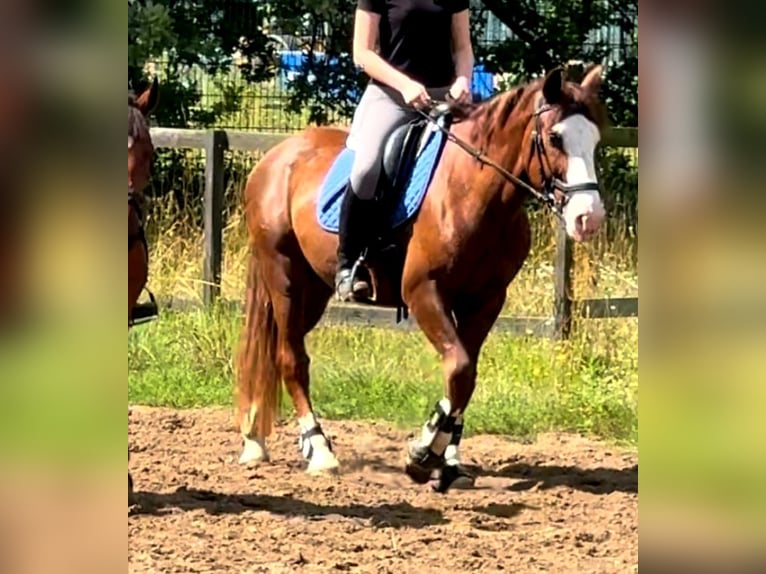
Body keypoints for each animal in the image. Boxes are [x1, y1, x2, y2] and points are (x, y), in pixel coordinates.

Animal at [237, 66, 608, 490]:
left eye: (596, 139)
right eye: (554, 137)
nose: (588, 218)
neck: (473, 190)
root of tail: (278, 155)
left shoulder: (486, 299)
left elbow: (466, 375)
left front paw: (445, 459)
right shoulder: (423, 291)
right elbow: (459, 369)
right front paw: (423, 453)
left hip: (312, 291)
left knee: (278, 350)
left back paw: (255, 440)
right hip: (283, 276)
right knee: (291, 358)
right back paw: (318, 451)